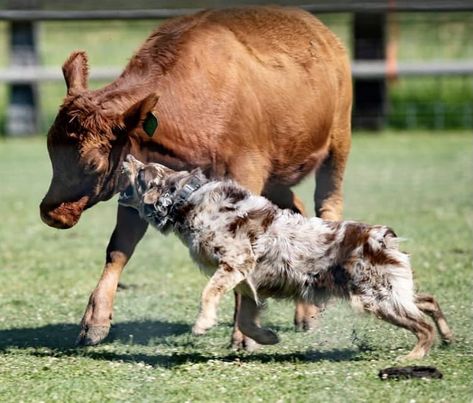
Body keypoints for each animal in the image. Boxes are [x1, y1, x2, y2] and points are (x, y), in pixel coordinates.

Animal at [39, 6, 350, 348]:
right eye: (51, 150)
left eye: (93, 164)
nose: (51, 213)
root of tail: (322, 33)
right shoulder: (133, 190)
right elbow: (119, 248)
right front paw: (94, 321)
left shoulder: (246, 176)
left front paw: (243, 334)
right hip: (277, 179)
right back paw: (304, 311)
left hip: (337, 145)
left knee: (327, 206)